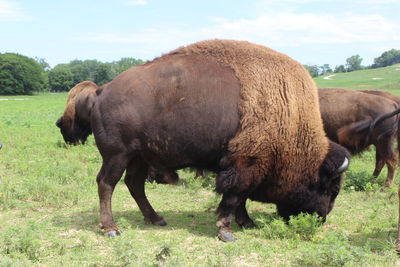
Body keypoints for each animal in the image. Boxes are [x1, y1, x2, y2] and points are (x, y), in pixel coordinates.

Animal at [57, 40, 350, 243]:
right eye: (331, 189)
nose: (321, 218)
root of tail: (101, 91)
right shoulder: (245, 165)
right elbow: (233, 198)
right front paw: (226, 232)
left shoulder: (242, 165)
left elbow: (240, 199)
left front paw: (246, 223)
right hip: (117, 155)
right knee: (107, 183)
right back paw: (111, 229)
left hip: (140, 156)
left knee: (134, 184)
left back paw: (156, 218)